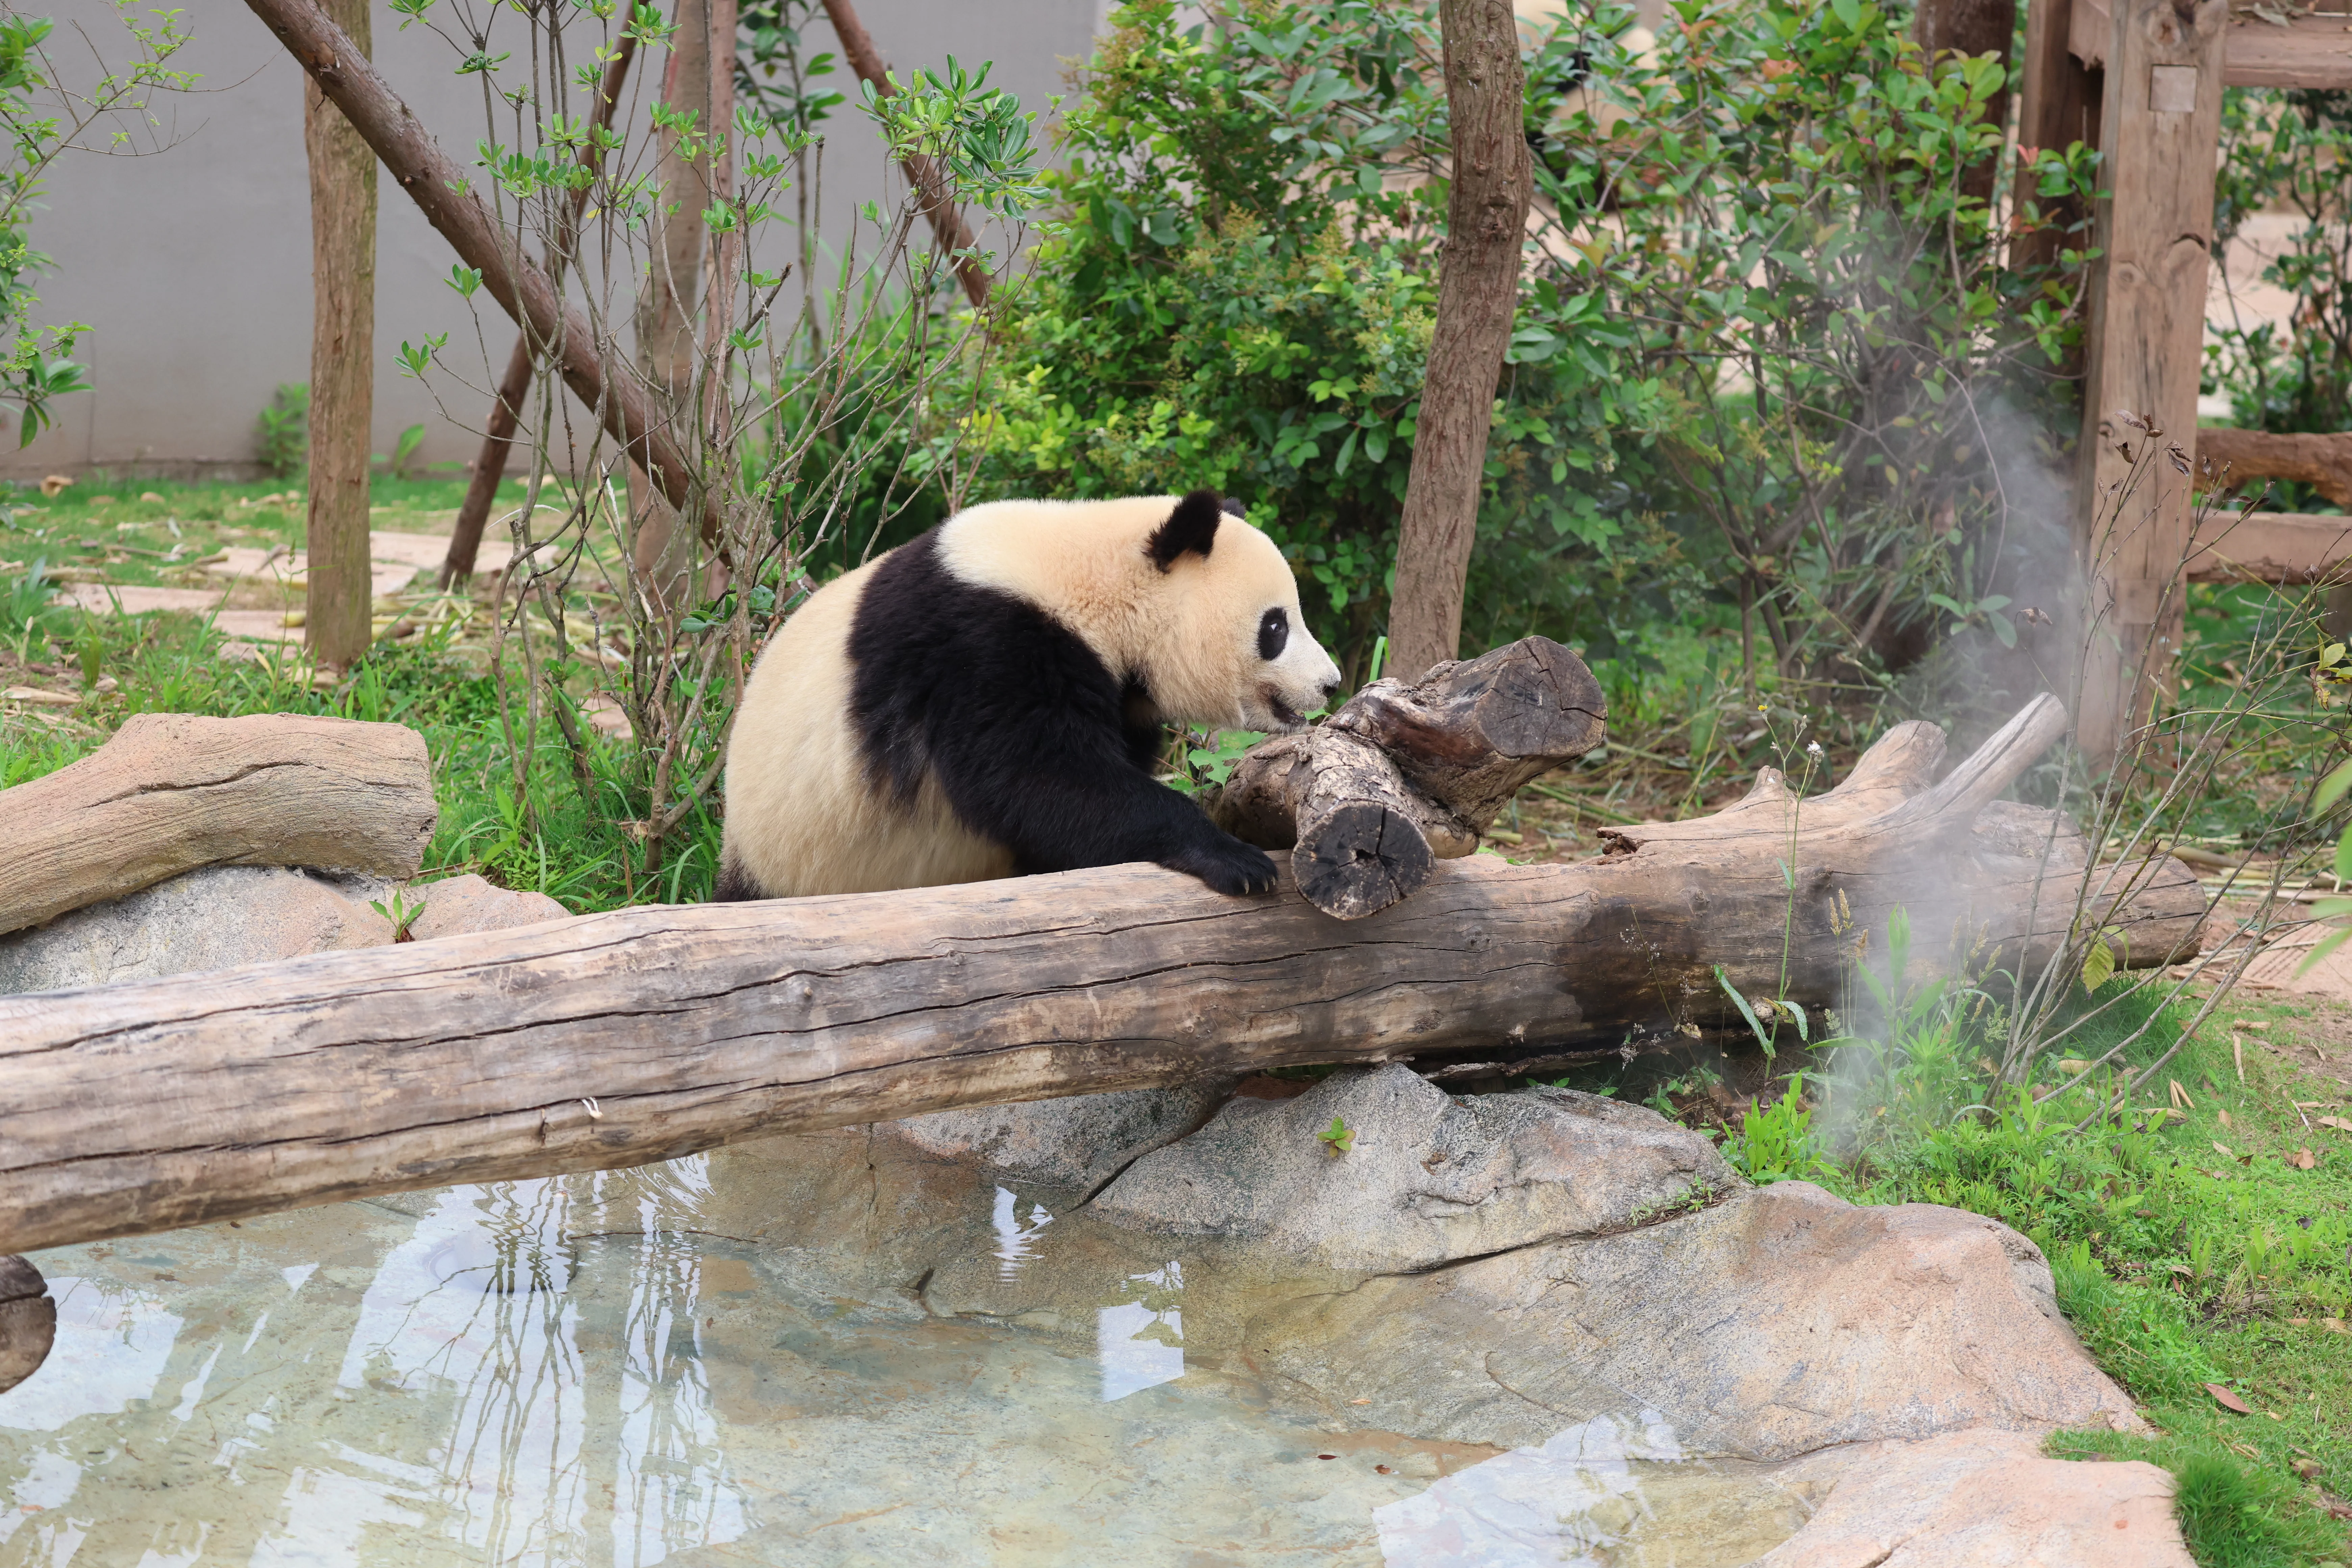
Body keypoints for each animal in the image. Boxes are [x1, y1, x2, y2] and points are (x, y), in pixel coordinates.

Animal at [713, 489, 1345, 902]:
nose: (1331, 682)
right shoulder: (981, 646)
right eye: (1275, 627)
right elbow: (1038, 780)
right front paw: (1237, 860)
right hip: (800, 850)